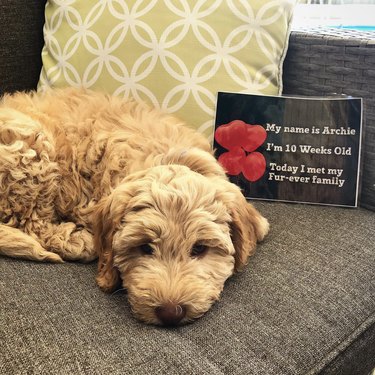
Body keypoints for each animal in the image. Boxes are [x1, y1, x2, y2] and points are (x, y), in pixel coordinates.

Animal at [0, 88, 270, 326]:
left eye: (199, 248)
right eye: (145, 247)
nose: (171, 312)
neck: (170, 157)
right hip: (33, 151)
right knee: (34, 223)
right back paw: (78, 241)